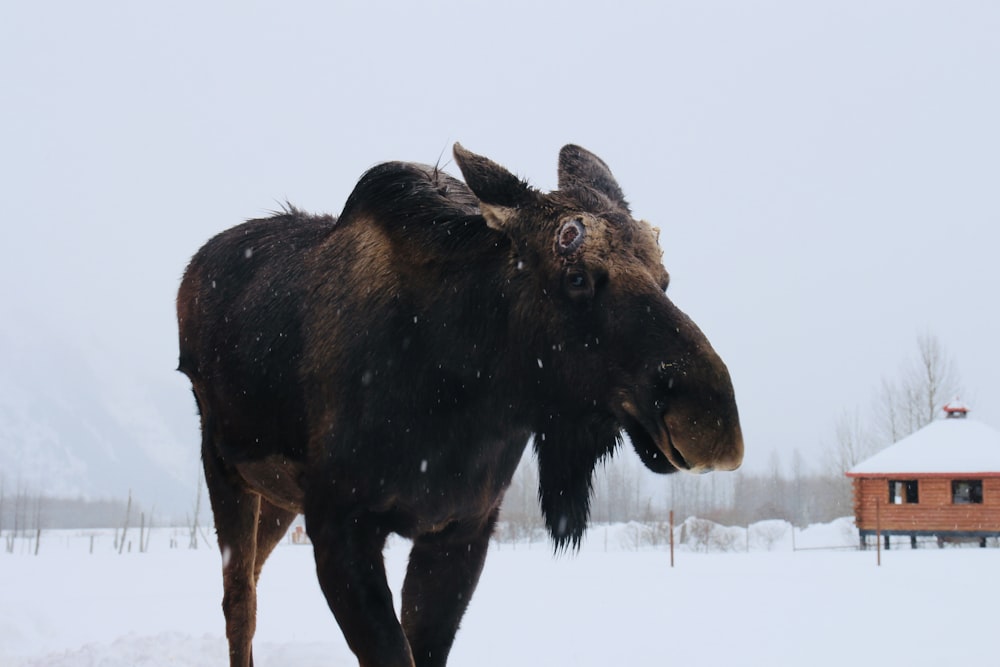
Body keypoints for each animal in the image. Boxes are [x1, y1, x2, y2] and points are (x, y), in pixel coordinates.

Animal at [178, 145, 744, 667]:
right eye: (576, 277)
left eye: (664, 277)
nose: (712, 425)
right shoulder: (340, 522)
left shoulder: (463, 528)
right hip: (224, 463)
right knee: (239, 601)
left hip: (278, 497)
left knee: (252, 578)